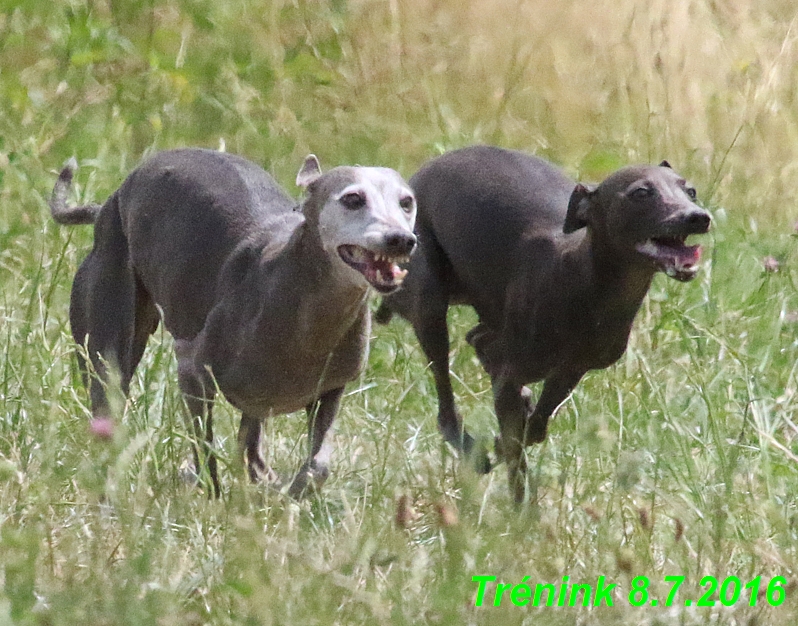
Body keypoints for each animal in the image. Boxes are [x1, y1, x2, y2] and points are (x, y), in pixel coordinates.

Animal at [380, 144, 712, 500]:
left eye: (690, 190)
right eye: (641, 192)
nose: (698, 217)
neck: (584, 284)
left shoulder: (570, 371)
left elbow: (535, 429)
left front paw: (508, 439)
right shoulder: (512, 377)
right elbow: (516, 451)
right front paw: (522, 508)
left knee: (479, 340)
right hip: (430, 303)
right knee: (445, 401)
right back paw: (470, 448)